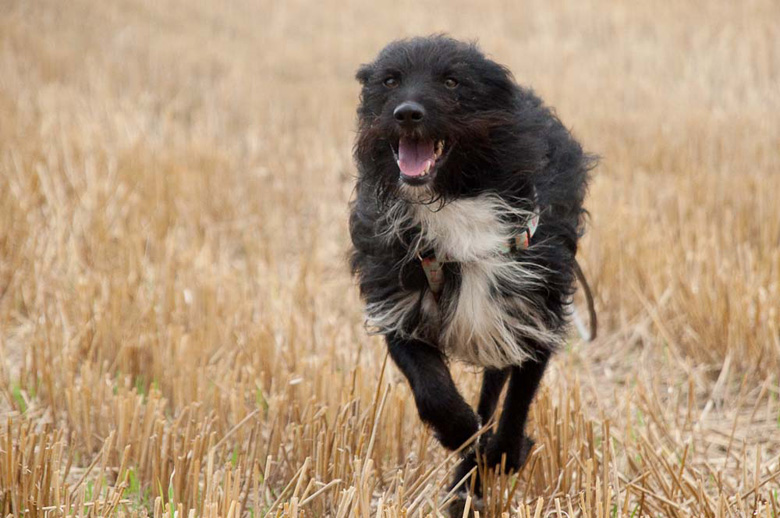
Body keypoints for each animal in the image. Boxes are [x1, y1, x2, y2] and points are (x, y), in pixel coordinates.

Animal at [349, 35, 594, 509]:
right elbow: (432, 390)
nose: (407, 113)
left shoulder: (532, 311)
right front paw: (462, 434)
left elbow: (516, 401)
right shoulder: (399, 303)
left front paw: (502, 454)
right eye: (390, 80)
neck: (452, 202)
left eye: (452, 81)